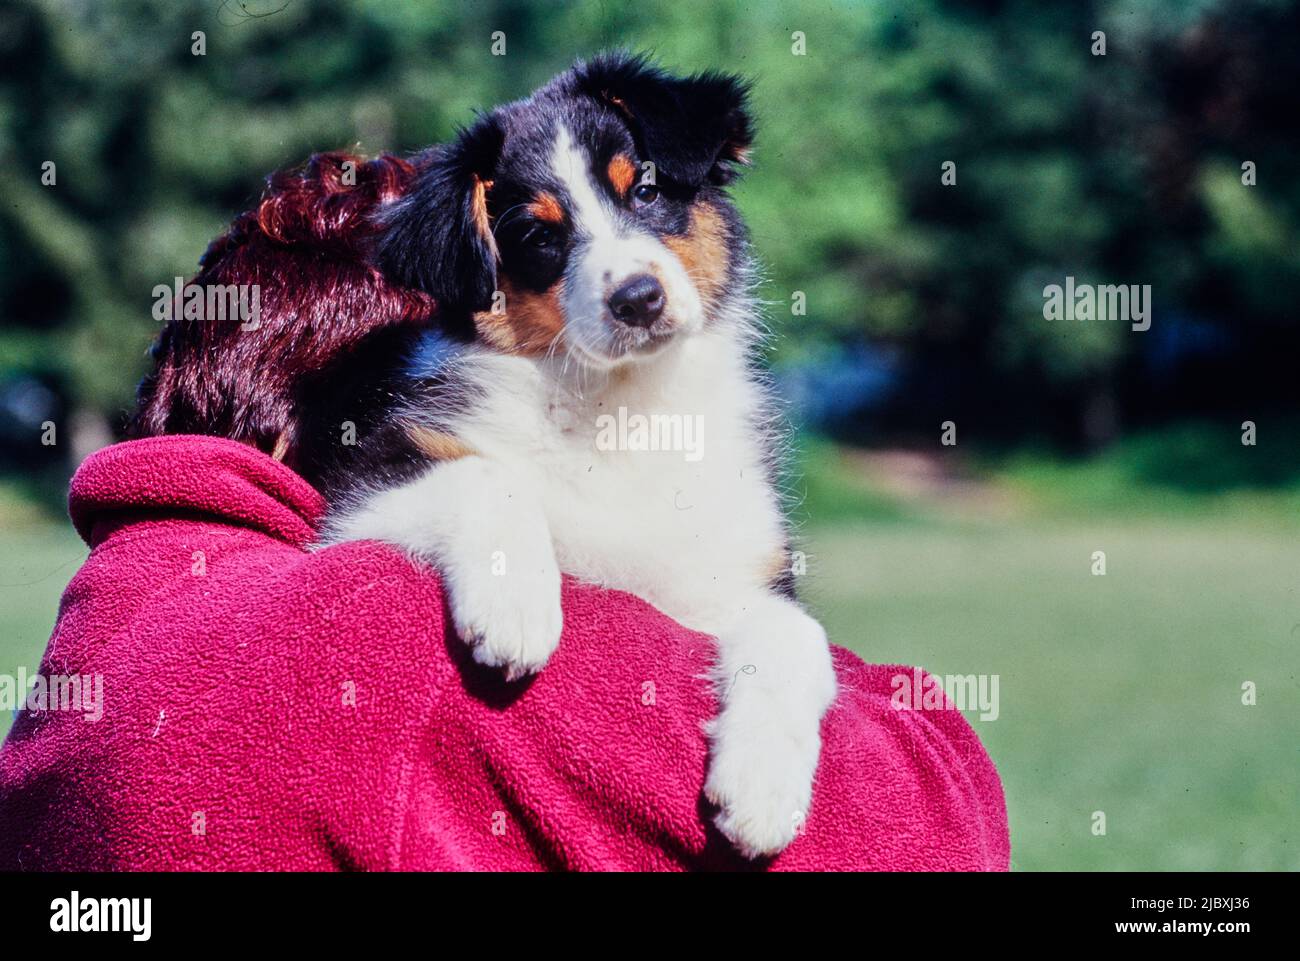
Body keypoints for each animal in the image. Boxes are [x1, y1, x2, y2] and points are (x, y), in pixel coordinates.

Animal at [137, 56, 837, 858]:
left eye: (648, 191)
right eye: (538, 236)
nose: (638, 299)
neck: (621, 410)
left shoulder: (732, 573)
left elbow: (797, 635)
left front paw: (763, 790)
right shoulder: (361, 489)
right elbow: (486, 475)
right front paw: (516, 608)